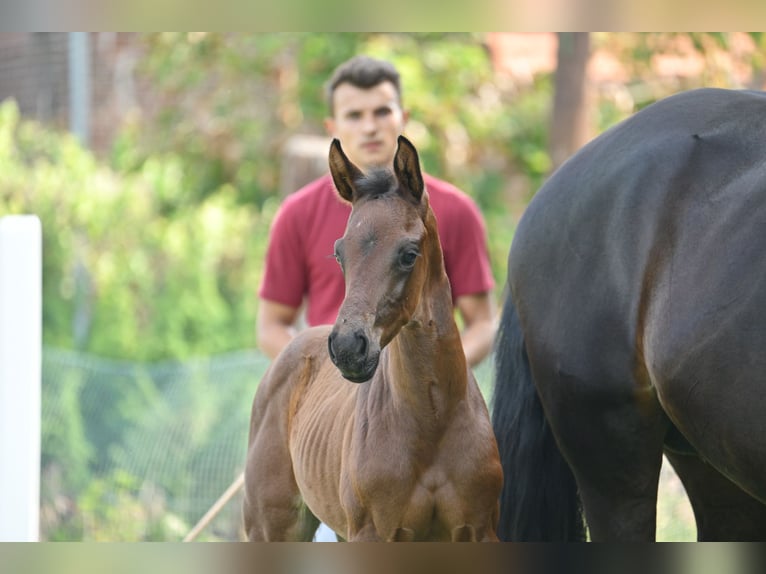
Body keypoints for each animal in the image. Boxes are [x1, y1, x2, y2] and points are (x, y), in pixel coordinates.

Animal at [243, 135, 503, 542]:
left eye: (409, 254)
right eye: (339, 253)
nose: (348, 347)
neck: (432, 423)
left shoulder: (480, 529)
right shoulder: (372, 532)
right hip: (271, 527)